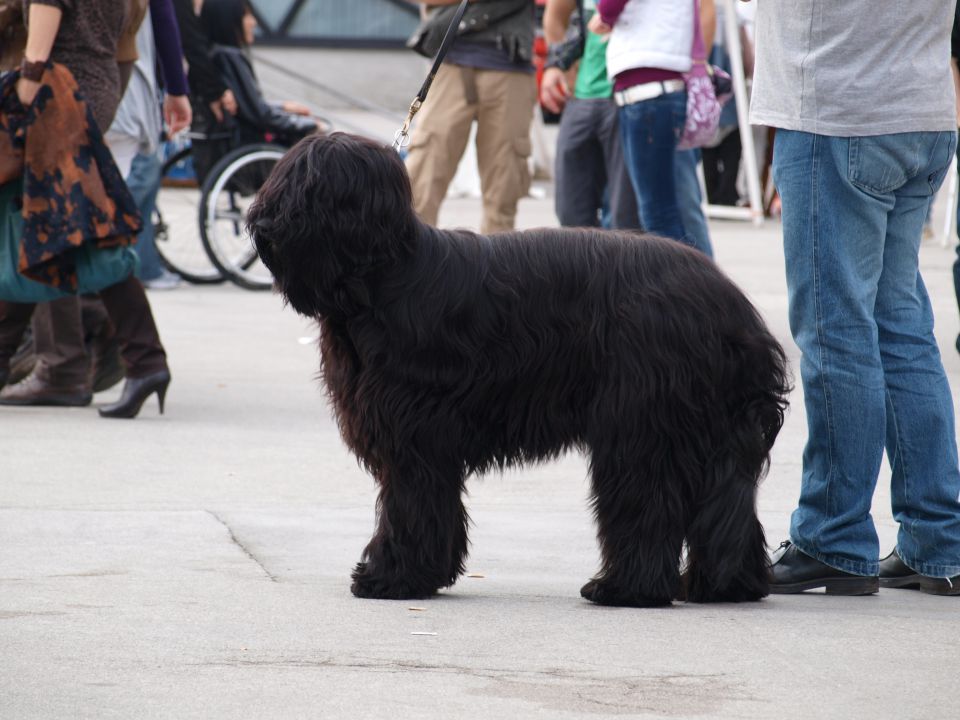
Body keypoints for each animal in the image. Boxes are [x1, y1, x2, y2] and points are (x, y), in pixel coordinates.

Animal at [248, 131, 788, 608]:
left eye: (314, 187)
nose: (262, 223)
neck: (383, 279)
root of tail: (729, 302)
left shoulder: (415, 433)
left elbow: (410, 504)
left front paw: (392, 577)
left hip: (640, 423)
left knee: (647, 501)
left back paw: (626, 589)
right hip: (709, 432)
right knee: (727, 502)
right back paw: (728, 585)